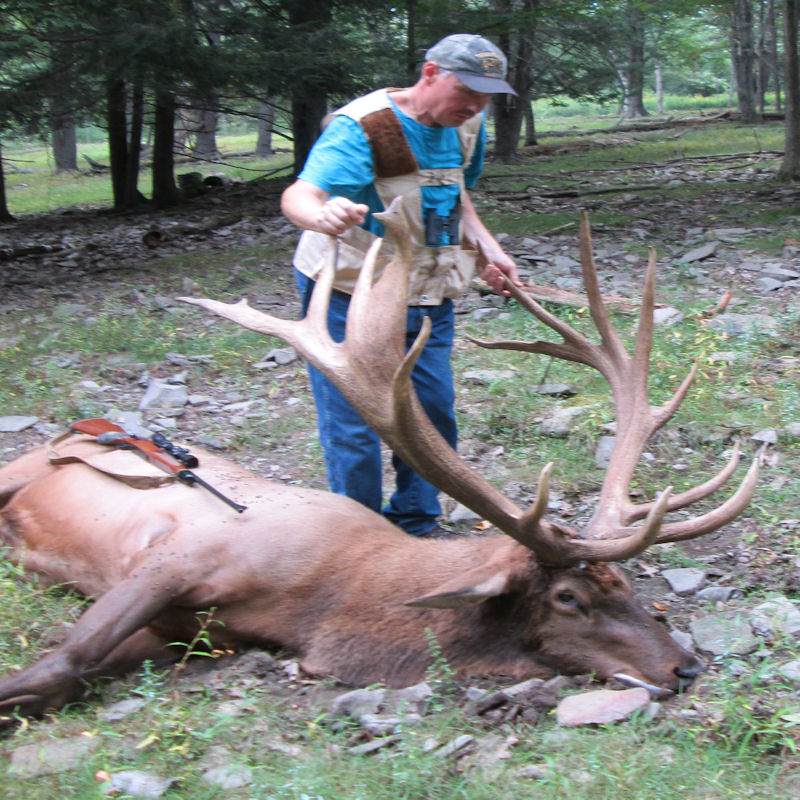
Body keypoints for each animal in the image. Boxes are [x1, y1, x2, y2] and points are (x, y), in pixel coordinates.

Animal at [0, 198, 759, 723]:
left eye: (625, 584)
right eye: (568, 597)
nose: (686, 668)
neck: (315, 606)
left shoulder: (186, 632)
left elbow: (75, 669)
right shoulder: (178, 558)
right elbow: (60, 662)